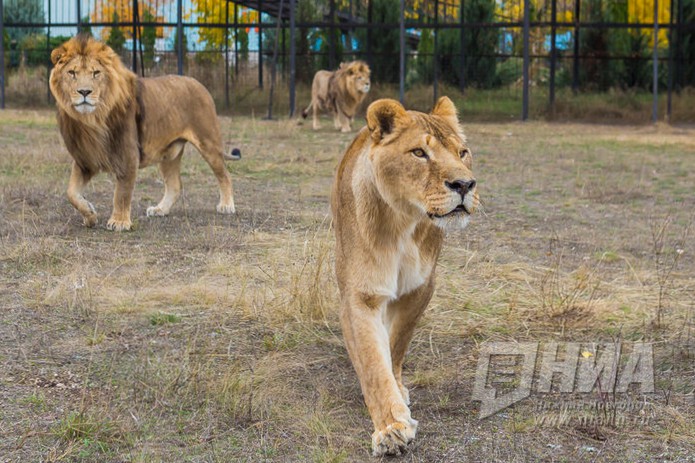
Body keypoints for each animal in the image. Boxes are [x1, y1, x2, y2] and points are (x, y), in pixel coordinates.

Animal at [49, 32, 239, 232]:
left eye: (96, 73)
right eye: (72, 73)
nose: (84, 91)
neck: (93, 119)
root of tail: (198, 83)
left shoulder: (128, 156)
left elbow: (122, 192)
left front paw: (119, 222)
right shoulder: (85, 158)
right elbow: (71, 192)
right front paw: (90, 215)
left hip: (208, 142)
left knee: (225, 174)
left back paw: (227, 205)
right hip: (169, 153)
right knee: (175, 185)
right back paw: (160, 209)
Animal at [332, 97, 478, 456]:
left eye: (462, 152)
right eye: (419, 153)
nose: (464, 185)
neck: (403, 223)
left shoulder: (421, 288)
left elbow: (396, 344)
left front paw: (397, 390)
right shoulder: (359, 296)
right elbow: (372, 361)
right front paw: (390, 428)